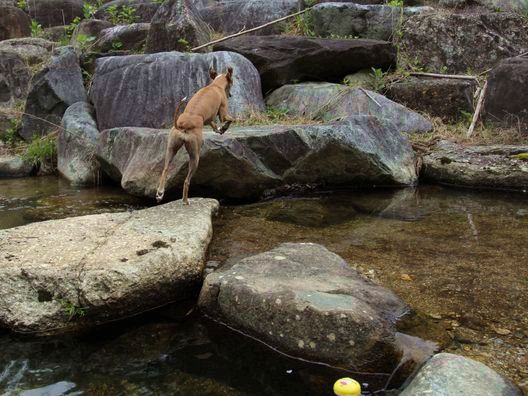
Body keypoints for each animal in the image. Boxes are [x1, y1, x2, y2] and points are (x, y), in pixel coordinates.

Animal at [154, 67, 234, 204]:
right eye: (232, 82)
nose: (230, 95)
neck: (215, 85)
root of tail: (182, 125)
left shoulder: (208, 119)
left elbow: (213, 124)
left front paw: (219, 130)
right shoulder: (223, 112)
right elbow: (230, 119)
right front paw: (223, 128)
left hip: (171, 149)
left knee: (165, 169)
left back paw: (160, 193)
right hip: (195, 156)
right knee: (186, 181)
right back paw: (185, 201)